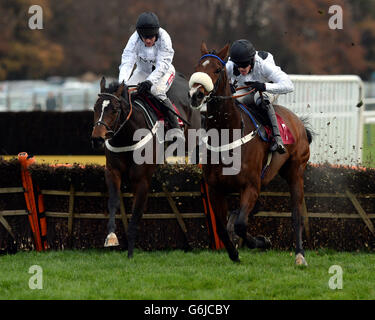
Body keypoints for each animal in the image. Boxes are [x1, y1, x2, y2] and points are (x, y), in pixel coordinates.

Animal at [91, 74, 203, 258]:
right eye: (95, 107)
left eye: (114, 109)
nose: (97, 139)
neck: (128, 137)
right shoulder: (113, 172)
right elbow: (113, 202)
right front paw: (111, 237)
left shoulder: (142, 179)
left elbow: (136, 211)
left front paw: (130, 253)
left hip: (193, 140)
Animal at [189, 43, 312, 268]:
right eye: (197, 67)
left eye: (217, 70)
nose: (196, 95)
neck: (227, 135)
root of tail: (297, 121)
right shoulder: (215, 188)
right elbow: (223, 227)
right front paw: (234, 252)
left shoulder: (250, 186)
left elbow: (240, 225)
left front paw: (262, 242)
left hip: (295, 172)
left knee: (296, 214)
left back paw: (300, 255)